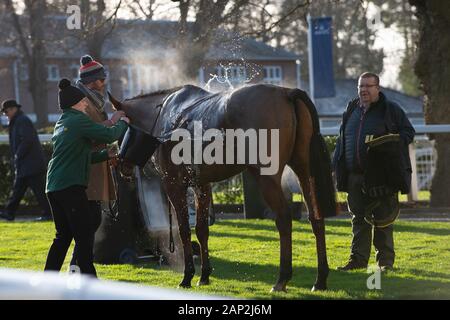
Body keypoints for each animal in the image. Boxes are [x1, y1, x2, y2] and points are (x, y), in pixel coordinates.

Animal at [107, 84, 336, 292]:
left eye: (119, 128)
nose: (120, 164)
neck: (166, 119)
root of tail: (285, 92)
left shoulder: (174, 184)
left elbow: (183, 230)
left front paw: (188, 276)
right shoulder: (202, 184)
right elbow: (201, 229)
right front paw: (204, 276)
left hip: (267, 177)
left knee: (283, 219)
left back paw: (282, 279)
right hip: (304, 170)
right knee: (316, 217)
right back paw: (320, 279)